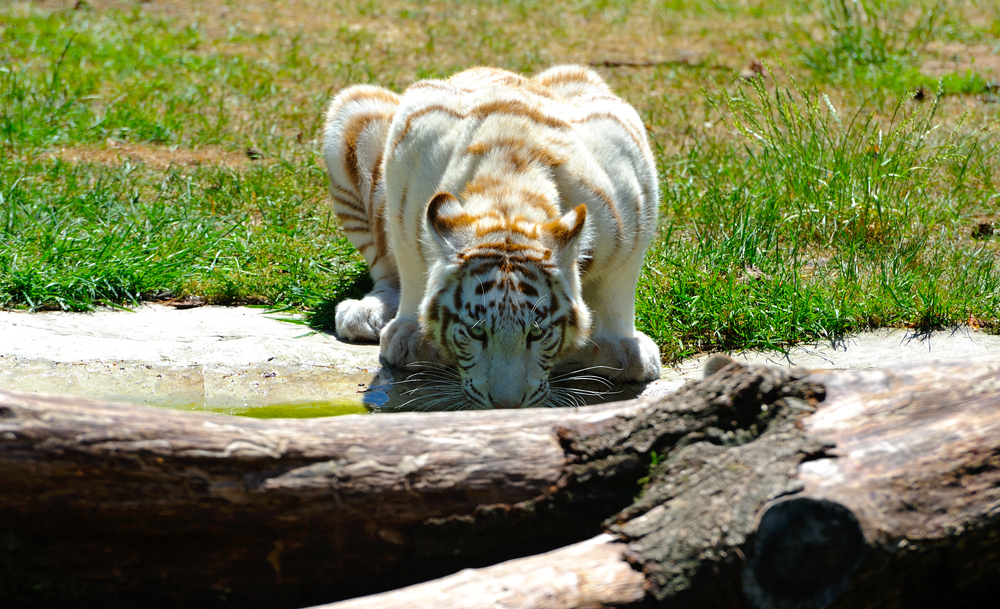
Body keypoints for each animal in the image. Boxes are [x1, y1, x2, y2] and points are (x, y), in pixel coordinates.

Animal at [324, 65, 660, 408]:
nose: (507, 403)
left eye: (536, 333)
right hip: (352, 111)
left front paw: (621, 348)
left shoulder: (631, 175)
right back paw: (367, 313)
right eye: (476, 332)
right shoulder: (409, 147)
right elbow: (410, 259)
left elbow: (617, 282)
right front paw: (413, 335)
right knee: (385, 266)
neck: (509, 195)